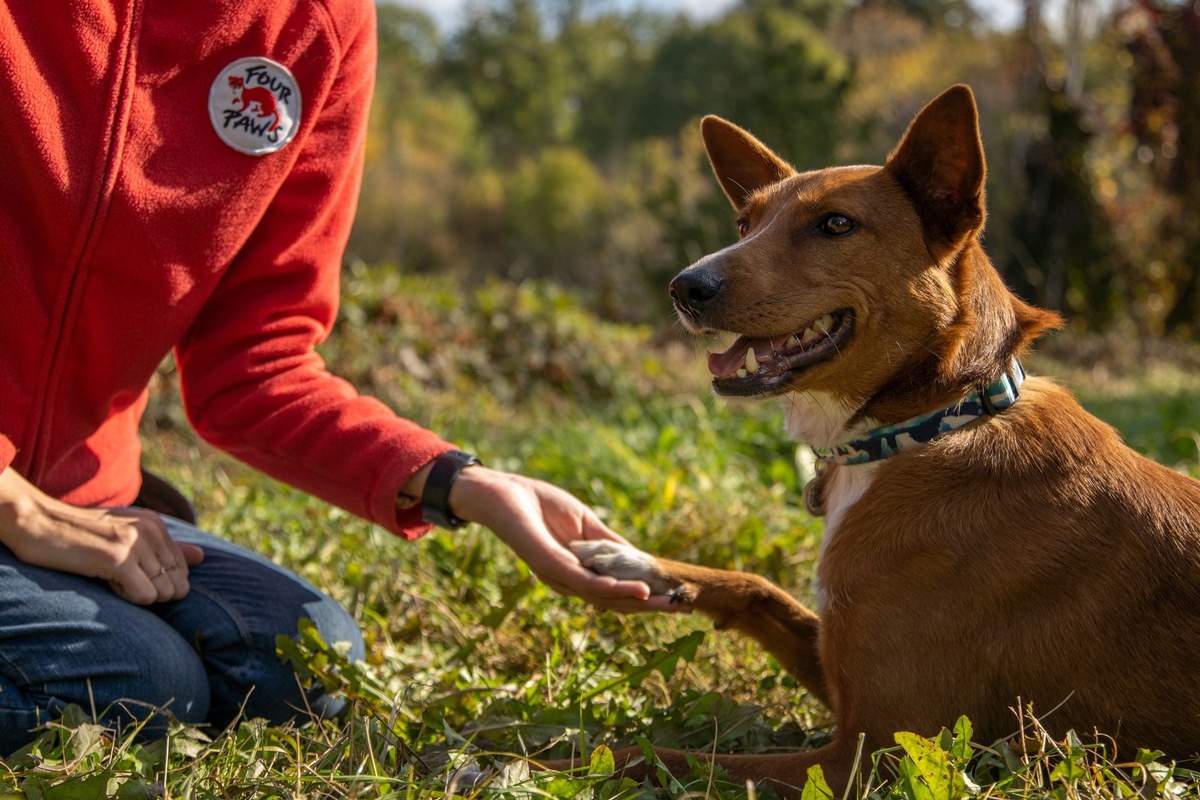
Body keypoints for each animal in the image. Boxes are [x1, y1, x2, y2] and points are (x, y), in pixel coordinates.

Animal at [566, 84, 1200, 796]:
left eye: (836, 225)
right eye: (745, 225)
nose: (684, 287)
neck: (928, 425)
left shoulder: (865, 757)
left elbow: (653, 755)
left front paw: (540, 759)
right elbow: (756, 587)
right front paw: (632, 561)